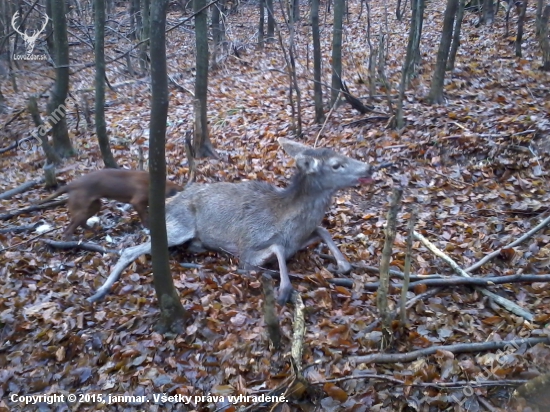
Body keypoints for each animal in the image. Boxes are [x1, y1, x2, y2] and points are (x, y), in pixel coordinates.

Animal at [40, 168, 185, 238]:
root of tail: (71, 185)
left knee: (79, 223)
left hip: (94, 206)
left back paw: (95, 232)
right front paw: (148, 227)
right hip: (82, 209)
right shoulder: (137, 202)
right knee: (68, 230)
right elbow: (144, 217)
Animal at [89, 140, 376, 304]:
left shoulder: (299, 238)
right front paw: (284, 290)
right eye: (337, 164)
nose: (368, 168)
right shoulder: (248, 249)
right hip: (179, 226)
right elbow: (272, 249)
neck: (285, 221)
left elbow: (322, 229)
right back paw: (98, 292)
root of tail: (168, 202)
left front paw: (343, 264)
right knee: (130, 249)